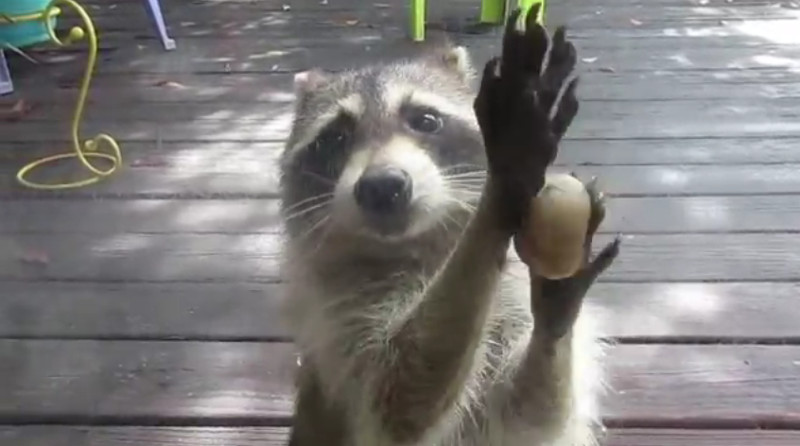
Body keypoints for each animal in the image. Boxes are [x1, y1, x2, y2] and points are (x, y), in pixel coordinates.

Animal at [276, 6, 620, 446]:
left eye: (425, 120)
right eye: (335, 137)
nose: (381, 186)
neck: (421, 246)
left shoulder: (510, 310)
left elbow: (530, 415)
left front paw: (555, 304)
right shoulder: (338, 323)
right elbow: (399, 397)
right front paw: (498, 193)